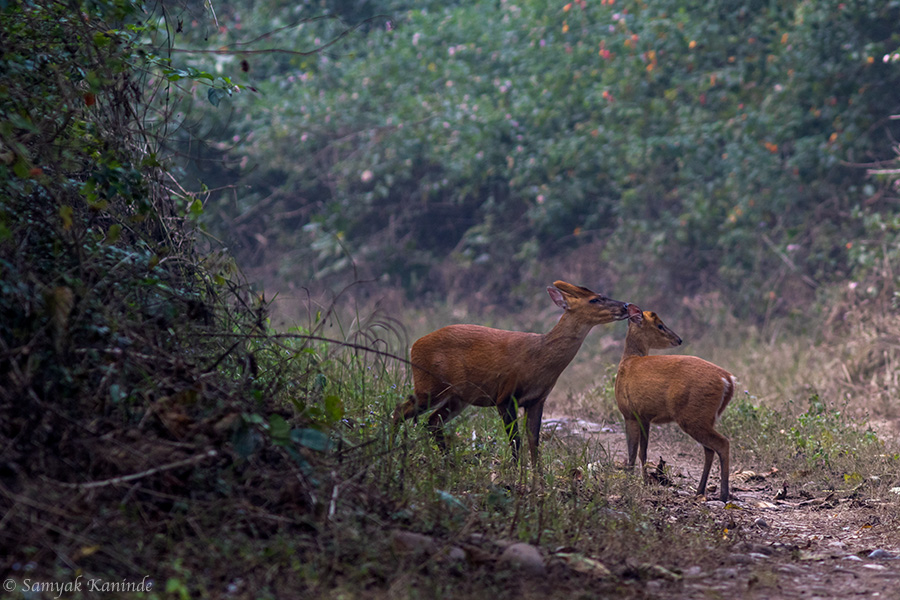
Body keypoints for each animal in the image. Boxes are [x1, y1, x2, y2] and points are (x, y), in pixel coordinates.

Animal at [616, 308, 736, 500]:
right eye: (660, 325)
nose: (679, 339)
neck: (627, 361)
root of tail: (728, 380)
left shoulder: (629, 413)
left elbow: (632, 452)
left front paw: (628, 483)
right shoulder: (644, 417)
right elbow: (643, 452)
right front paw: (644, 482)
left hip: (693, 415)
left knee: (722, 443)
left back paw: (723, 495)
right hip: (705, 417)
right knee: (709, 449)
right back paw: (700, 491)